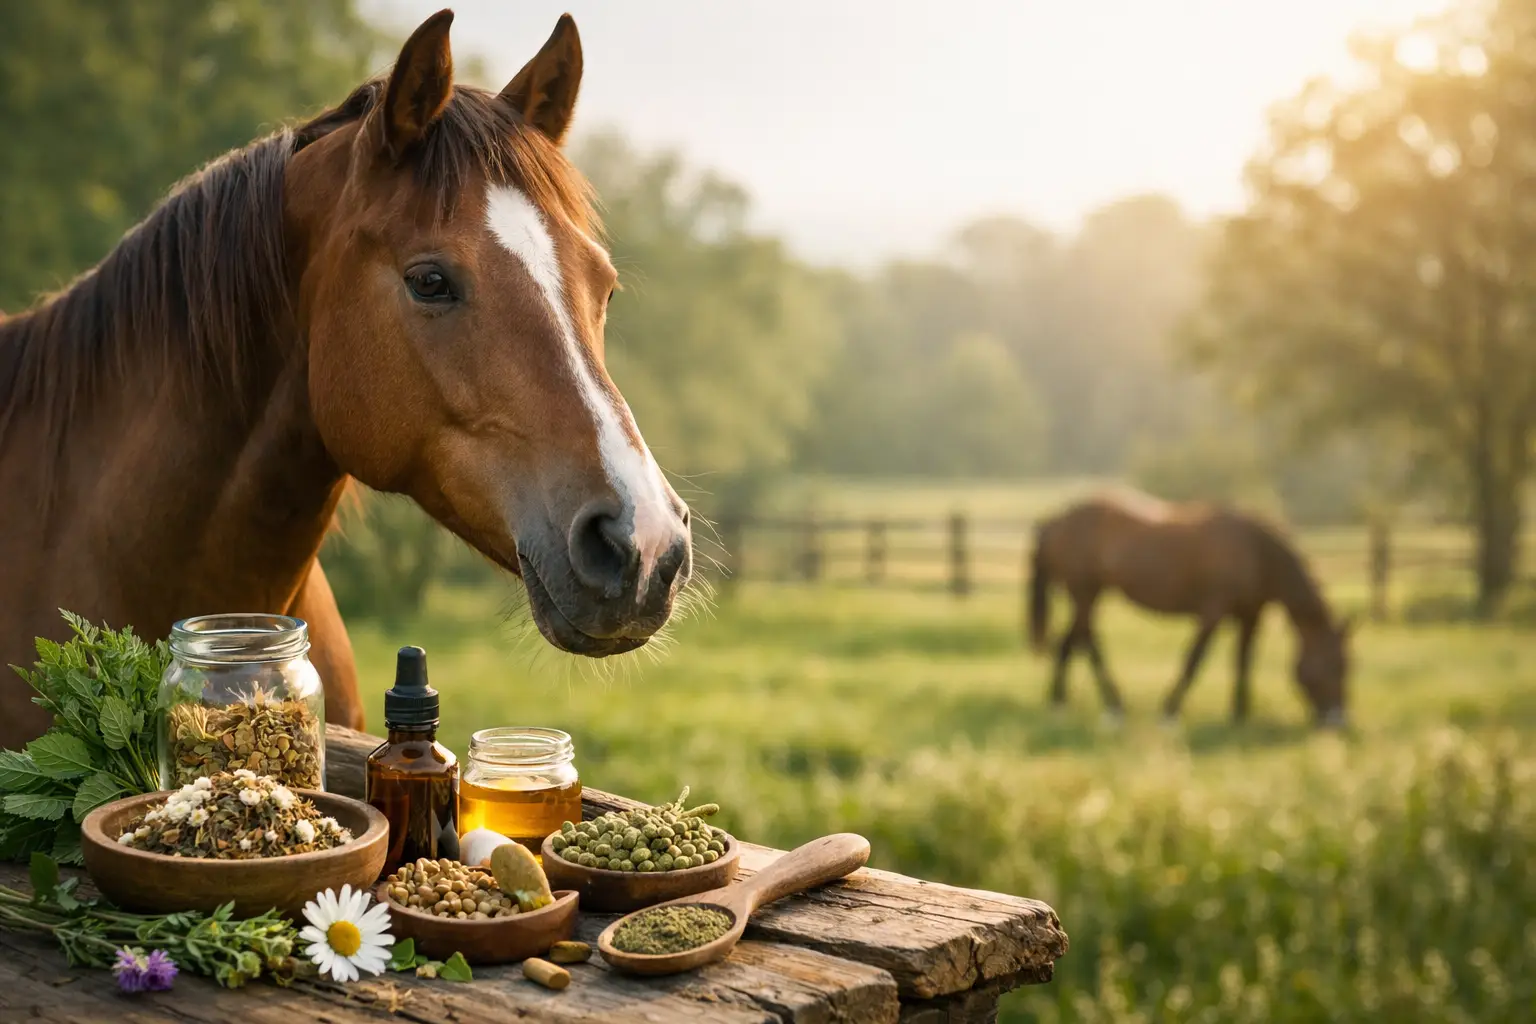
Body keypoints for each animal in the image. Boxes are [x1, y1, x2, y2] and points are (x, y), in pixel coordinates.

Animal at [1025, 490, 1352, 727]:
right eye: (1331, 664)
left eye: (1348, 666)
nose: (1338, 721)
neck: (1256, 551)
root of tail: (1055, 522)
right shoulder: (1213, 613)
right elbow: (1194, 660)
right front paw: (1169, 712)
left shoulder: (1250, 616)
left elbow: (1243, 661)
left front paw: (1240, 714)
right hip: (1084, 593)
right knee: (1085, 642)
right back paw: (1110, 706)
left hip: (1088, 595)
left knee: (1071, 642)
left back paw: (1061, 702)